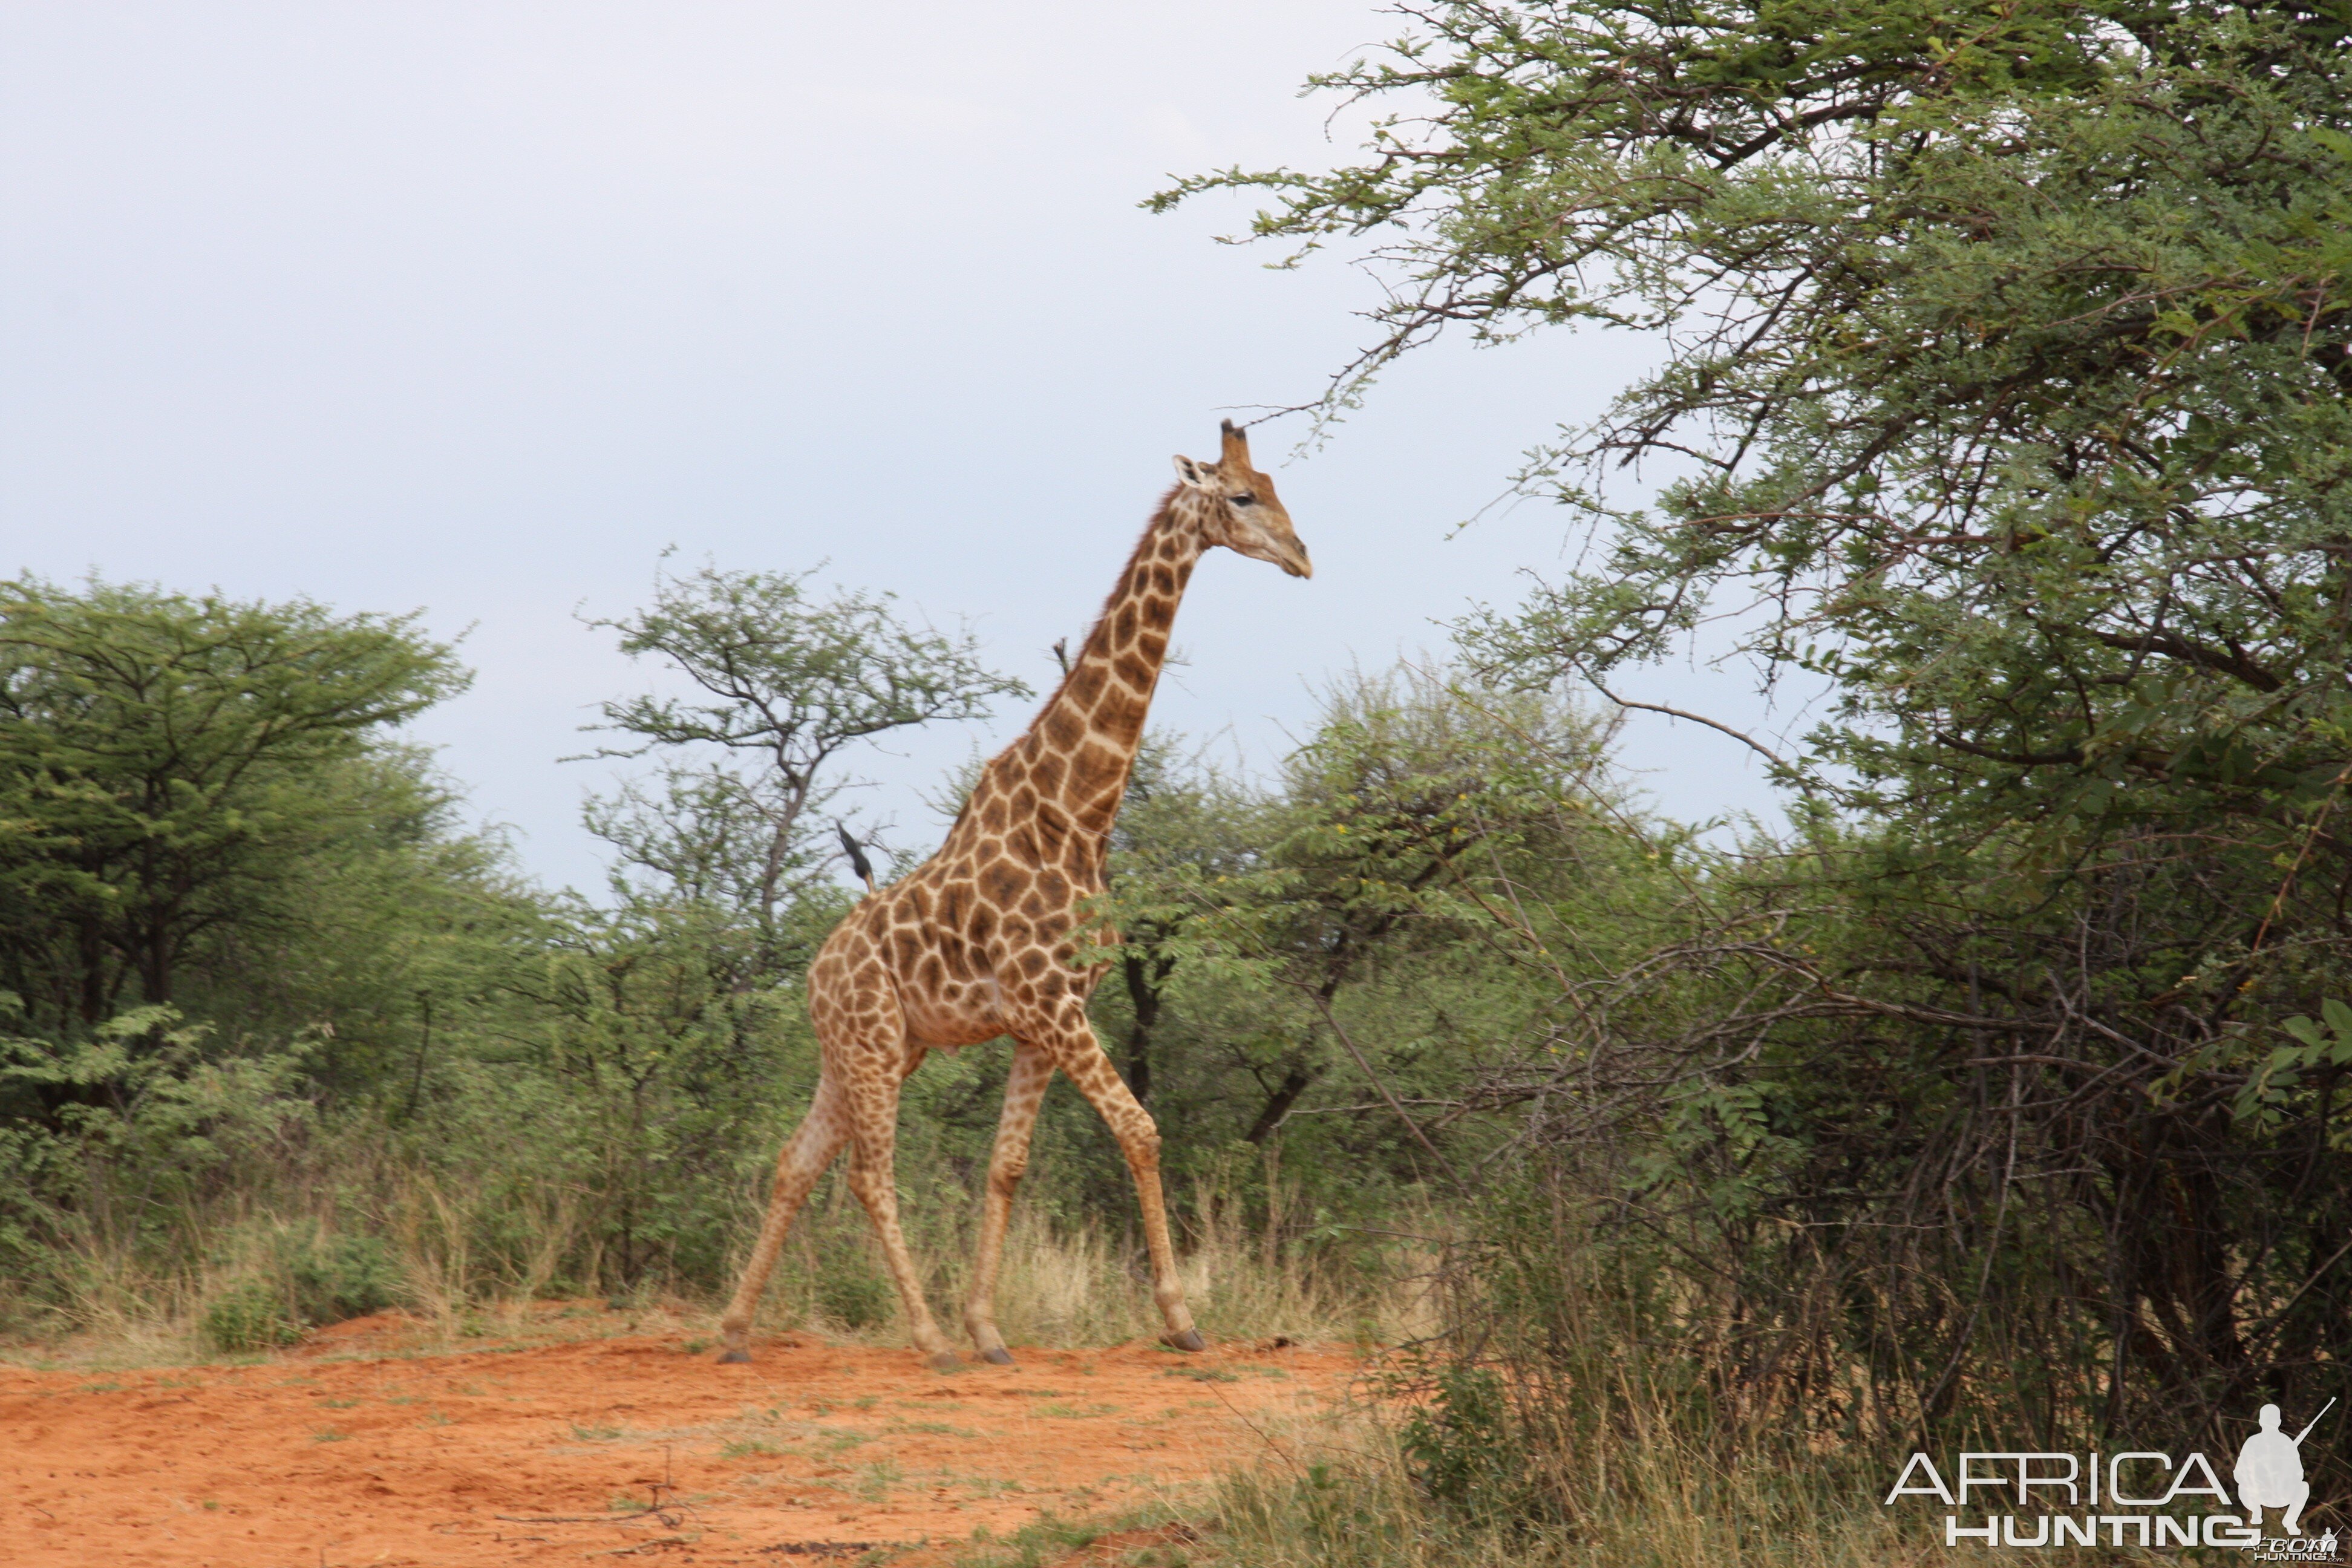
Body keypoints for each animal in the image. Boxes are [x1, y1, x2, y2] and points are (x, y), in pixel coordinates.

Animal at [714, 423, 1307, 1363]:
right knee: (869, 1175)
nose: (1302, 556)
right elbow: (1141, 1131)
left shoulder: (1043, 1021)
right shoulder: (1051, 1004)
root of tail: (813, 972)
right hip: (872, 1044)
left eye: (1281, 488)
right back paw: (926, 1339)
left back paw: (736, 1331)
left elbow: (1007, 1166)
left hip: (866, 1052)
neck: (1077, 813)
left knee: (795, 1162)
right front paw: (1181, 1320)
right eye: (1243, 497)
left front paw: (990, 1327)